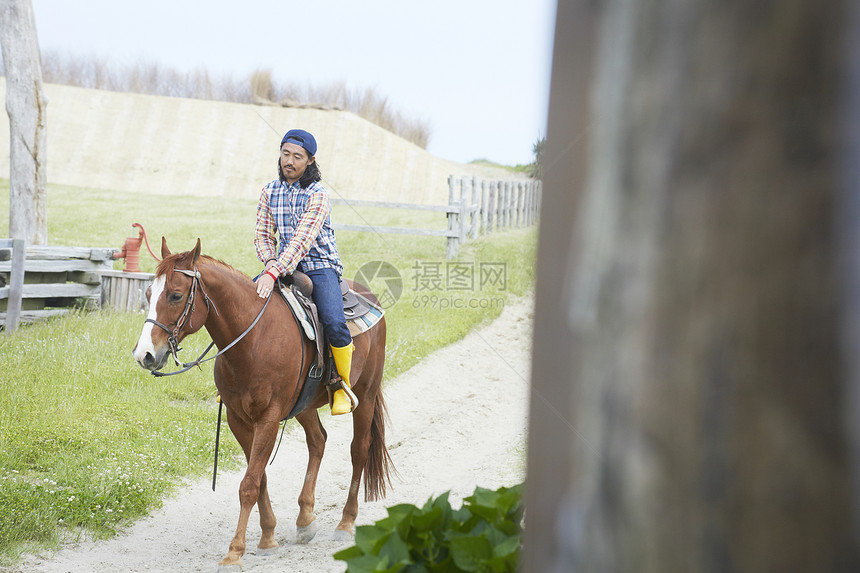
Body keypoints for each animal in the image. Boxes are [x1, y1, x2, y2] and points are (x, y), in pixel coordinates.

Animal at [131, 238, 394, 568]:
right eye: (148, 294)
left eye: (176, 295)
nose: (144, 355)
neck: (253, 340)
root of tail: (370, 297)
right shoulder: (238, 419)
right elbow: (259, 479)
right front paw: (268, 537)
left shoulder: (268, 417)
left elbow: (248, 485)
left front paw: (235, 551)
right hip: (304, 405)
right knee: (318, 441)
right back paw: (305, 519)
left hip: (367, 393)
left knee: (358, 450)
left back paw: (345, 523)